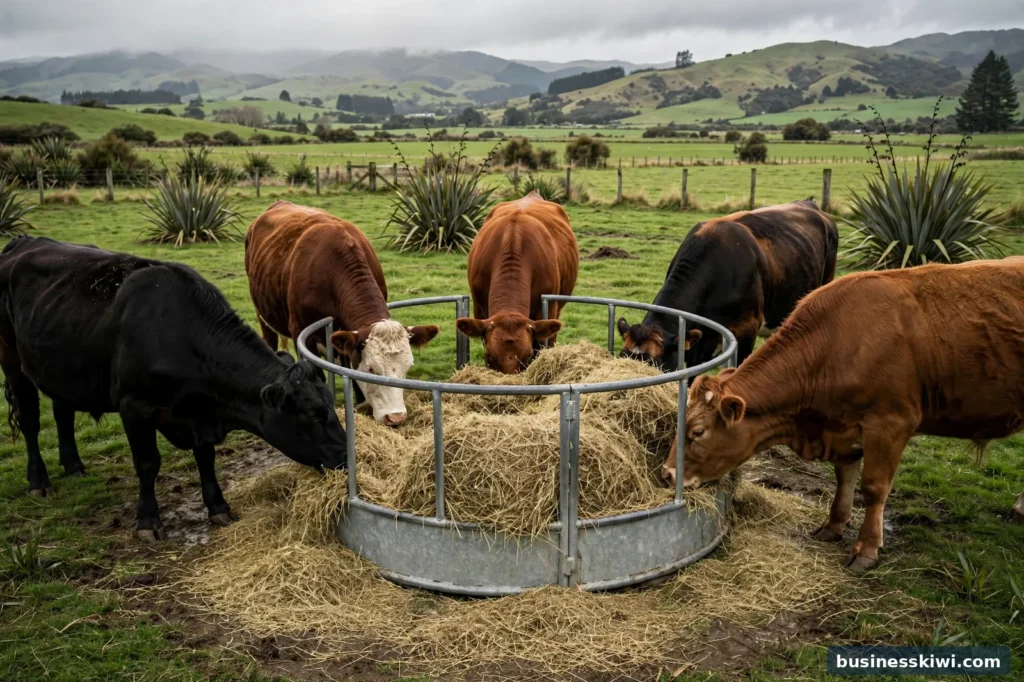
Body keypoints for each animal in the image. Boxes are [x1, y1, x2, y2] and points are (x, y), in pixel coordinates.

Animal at [0, 236, 345, 543]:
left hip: (61, 369)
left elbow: (206, 457)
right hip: (13, 363)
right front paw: (148, 522)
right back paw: (39, 481)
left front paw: (218, 507)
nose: (346, 455)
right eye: (312, 414)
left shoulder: (198, 415)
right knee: (30, 421)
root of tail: (23, 241)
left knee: (63, 412)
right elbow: (148, 463)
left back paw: (73, 465)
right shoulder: (133, 405)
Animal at [665, 257, 1024, 571]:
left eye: (697, 432)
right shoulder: (842, 426)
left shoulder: (890, 424)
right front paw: (833, 525)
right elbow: (844, 478)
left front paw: (866, 549)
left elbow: (874, 488)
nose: (668, 474)